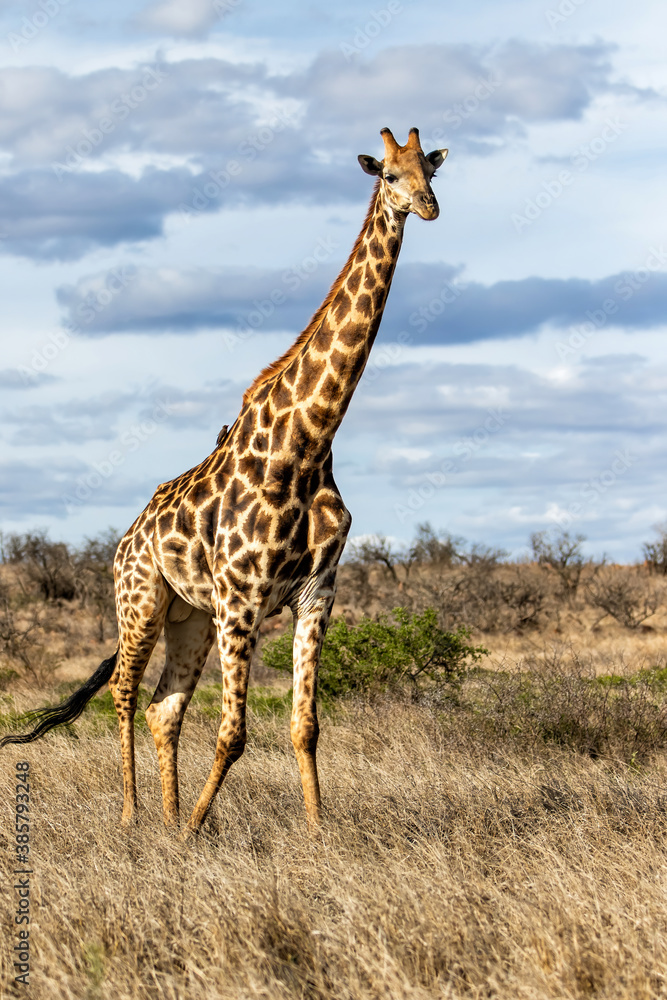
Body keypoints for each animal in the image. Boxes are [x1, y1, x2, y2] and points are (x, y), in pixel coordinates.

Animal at [1, 127, 448, 833]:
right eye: (388, 174)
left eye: (430, 169)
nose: (427, 207)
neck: (309, 446)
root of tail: (125, 540)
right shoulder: (243, 595)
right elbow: (234, 733)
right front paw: (194, 831)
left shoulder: (316, 593)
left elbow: (304, 726)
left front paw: (314, 833)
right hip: (142, 602)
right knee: (125, 693)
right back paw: (133, 817)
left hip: (192, 616)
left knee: (164, 707)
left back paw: (163, 818)